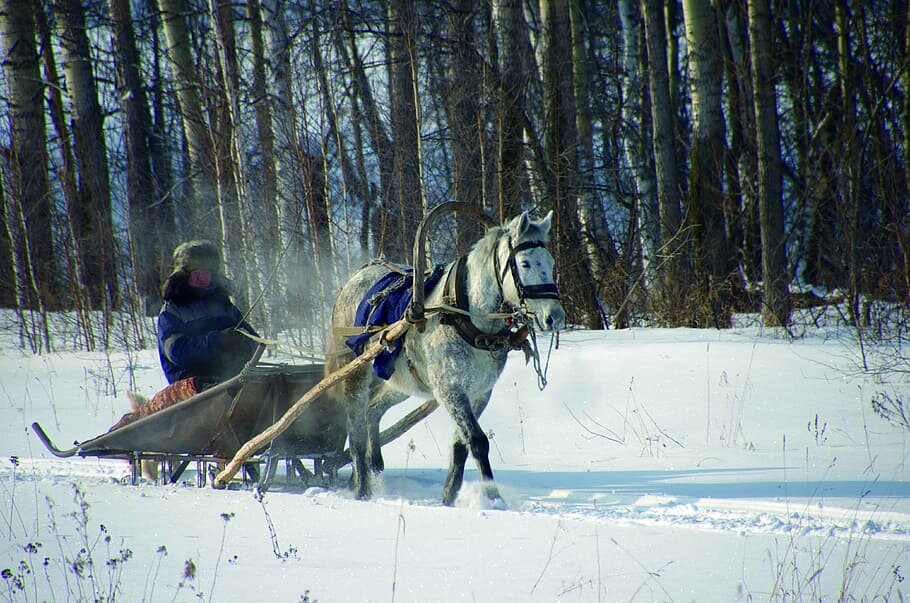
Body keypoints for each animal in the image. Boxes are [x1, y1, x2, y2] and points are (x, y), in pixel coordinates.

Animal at [328, 211, 568, 504]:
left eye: (551, 262)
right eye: (525, 263)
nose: (555, 317)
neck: (467, 314)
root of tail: (355, 277)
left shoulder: (479, 392)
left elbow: (461, 445)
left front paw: (450, 495)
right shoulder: (450, 389)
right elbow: (478, 441)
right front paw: (492, 496)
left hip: (403, 381)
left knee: (373, 410)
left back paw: (372, 468)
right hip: (355, 372)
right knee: (356, 429)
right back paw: (362, 487)